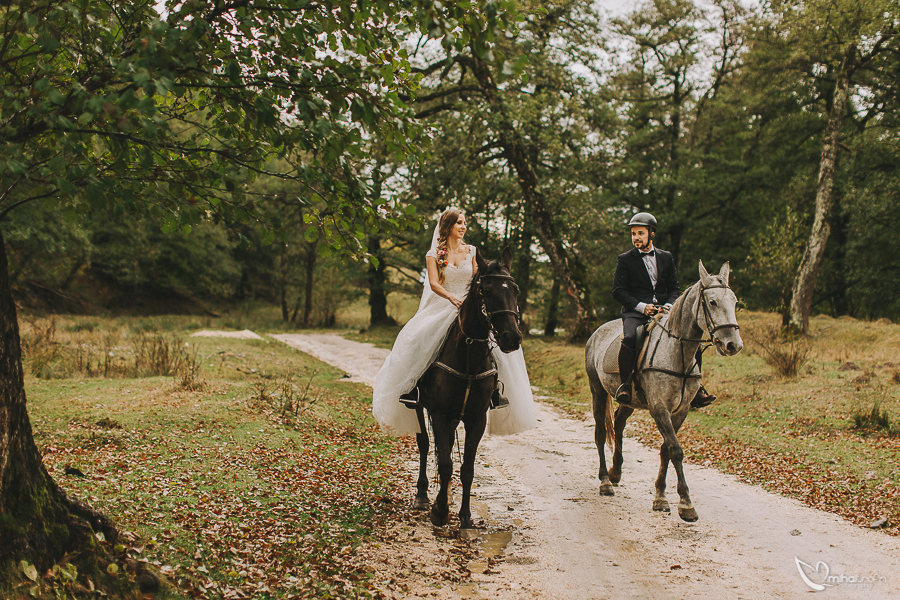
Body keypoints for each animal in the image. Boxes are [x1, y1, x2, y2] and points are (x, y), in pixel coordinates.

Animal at [410, 246, 516, 528]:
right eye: (486, 291)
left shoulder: (476, 418)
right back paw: (423, 495)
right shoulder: (439, 413)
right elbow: (446, 463)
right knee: (425, 444)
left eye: (515, 290)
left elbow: (467, 468)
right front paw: (439, 512)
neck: (468, 353)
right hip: (420, 407)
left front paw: (465, 516)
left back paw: (444, 495)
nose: (512, 338)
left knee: (444, 445)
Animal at [588, 262, 740, 520]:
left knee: (619, 423)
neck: (677, 352)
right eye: (712, 302)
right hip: (597, 391)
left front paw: (660, 496)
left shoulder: (681, 410)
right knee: (600, 433)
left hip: (629, 401)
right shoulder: (659, 409)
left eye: (735, 301)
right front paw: (686, 504)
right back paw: (606, 481)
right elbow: (675, 450)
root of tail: (598, 332)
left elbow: (666, 450)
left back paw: (616, 471)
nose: (733, 345)